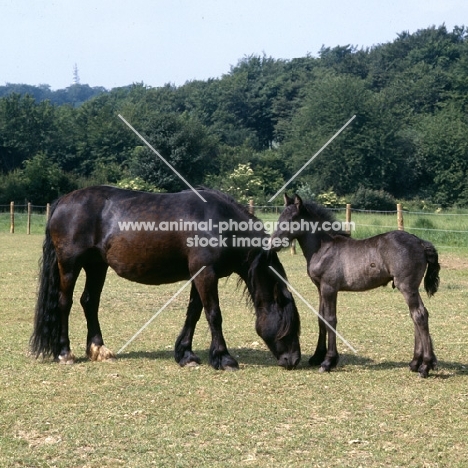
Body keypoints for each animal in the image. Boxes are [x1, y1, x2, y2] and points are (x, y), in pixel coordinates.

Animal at [30, 186, 300, 370]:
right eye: (289, 325)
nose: (294, 360)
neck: (219, 223)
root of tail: (63, 201)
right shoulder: (206, 273)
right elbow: (213, 314)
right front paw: (224, 358)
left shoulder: (199, 275)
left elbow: (194, 313)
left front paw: (186, 354)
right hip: (70, 265)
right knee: (64, 303)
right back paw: (65, 353)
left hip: (97, 266)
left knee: (89, 302)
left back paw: (98, 349)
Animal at [270, 194, 438, 376]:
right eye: (279, 218)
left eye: (292, 219)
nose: (272, 244)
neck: (324, 248)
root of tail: (420, 242)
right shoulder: (320, 288)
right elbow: (321, 318)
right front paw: (316, 357)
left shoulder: (329, 287)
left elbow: (330, 319)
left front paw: (328, 361)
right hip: (411, 288)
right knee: (415, 316)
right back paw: (415, 363)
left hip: (407, 286)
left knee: (420, 315)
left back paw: (425, 366)